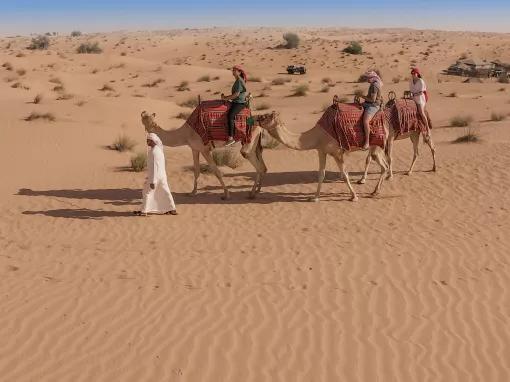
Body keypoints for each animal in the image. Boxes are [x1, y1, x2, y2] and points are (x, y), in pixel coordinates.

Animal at [256, 111, 388, 203]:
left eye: (266, 116)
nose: (256, 118)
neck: (317, 135)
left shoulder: (337, 152)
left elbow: (345, 174)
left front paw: (354, 197)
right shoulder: (321, 151)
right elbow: (321, 174)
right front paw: (315, 198)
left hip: (376, 146)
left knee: (383, 165)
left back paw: (375, 191)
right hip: (377, 148)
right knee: (384, 166)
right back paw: (375, 192)